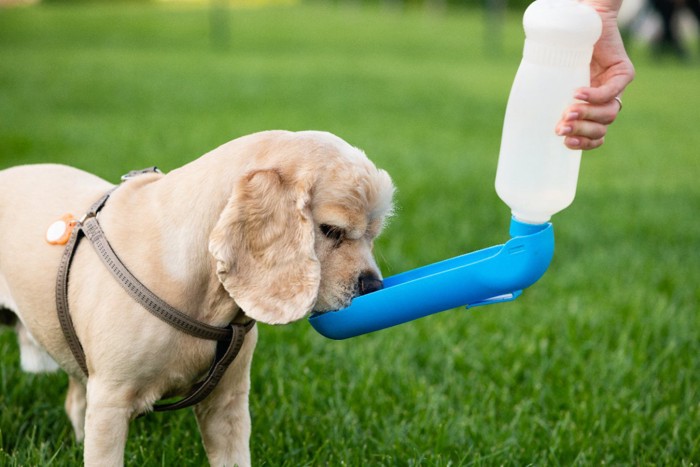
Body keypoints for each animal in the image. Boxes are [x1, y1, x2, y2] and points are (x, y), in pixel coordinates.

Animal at [0, 130, 394, 466]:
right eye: (331, 231)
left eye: (373, 235)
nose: (373, 287)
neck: (205, 294)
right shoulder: (110, 404)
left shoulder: (227, 405)